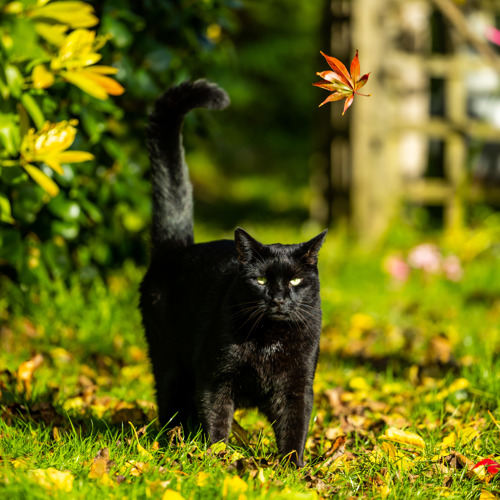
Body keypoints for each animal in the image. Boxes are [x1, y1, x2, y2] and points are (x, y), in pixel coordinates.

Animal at [141, 80, 328, 466]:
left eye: (296, 280)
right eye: (260, 280)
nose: (278, 298)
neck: (270, 338)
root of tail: (176, 248)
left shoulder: (298, 385)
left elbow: (295, 427)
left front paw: (293, 470)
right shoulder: (216, 379)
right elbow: (217, 422)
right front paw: (218, 463)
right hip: (168, 360)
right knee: (171, 405)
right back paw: (170, 446)